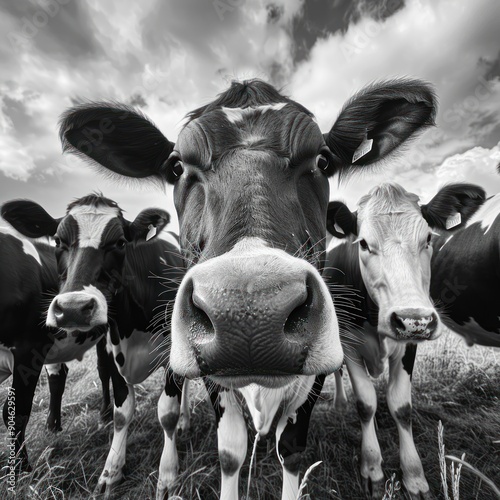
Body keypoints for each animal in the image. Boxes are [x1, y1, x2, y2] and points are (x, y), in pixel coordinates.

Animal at [0, 196, 187, 496]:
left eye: (120, 242)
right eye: (57, 241)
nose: (73, 308)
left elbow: (167, 412)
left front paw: (168, 477)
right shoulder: (113, 348)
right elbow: (123, 412)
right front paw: (111, 472)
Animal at [56, 78, 436, 500]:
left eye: (322, 162)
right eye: (176, 166)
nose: (250, 314)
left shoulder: (315, 376)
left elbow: (291, 449)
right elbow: (229, 452)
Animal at [324, 183, 484, 500]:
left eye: (428, 239)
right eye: (363, 243)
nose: (413, 319)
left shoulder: (409, 345)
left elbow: (401, 407)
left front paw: (414, 477)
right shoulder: (348, 343)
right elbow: (366, 403)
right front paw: (372, 468)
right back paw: (339, 403)